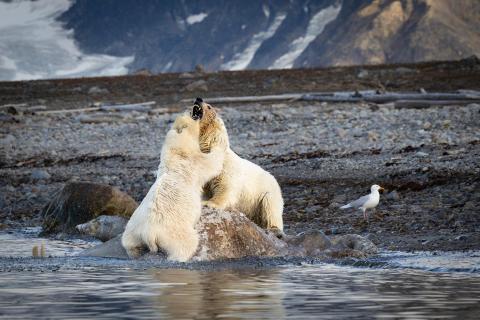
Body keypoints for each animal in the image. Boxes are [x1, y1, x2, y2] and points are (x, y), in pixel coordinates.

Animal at [120, 111, 225, 262]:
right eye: (192, 116)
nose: (195, 110)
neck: (176, 151)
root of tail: (149, 233)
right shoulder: (194, 161)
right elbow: (212, 163)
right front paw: (219, 135)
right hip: (175, 233)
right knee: (186, 245)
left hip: (133, 229)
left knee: (130, 244)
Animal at [192, 98, 284, 238]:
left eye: (209, 106)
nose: (198, 98)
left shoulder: (225, 168)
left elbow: (225, 188)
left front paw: (208, 203)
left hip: (267, 193)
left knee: (270, 207)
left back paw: (274, 229)